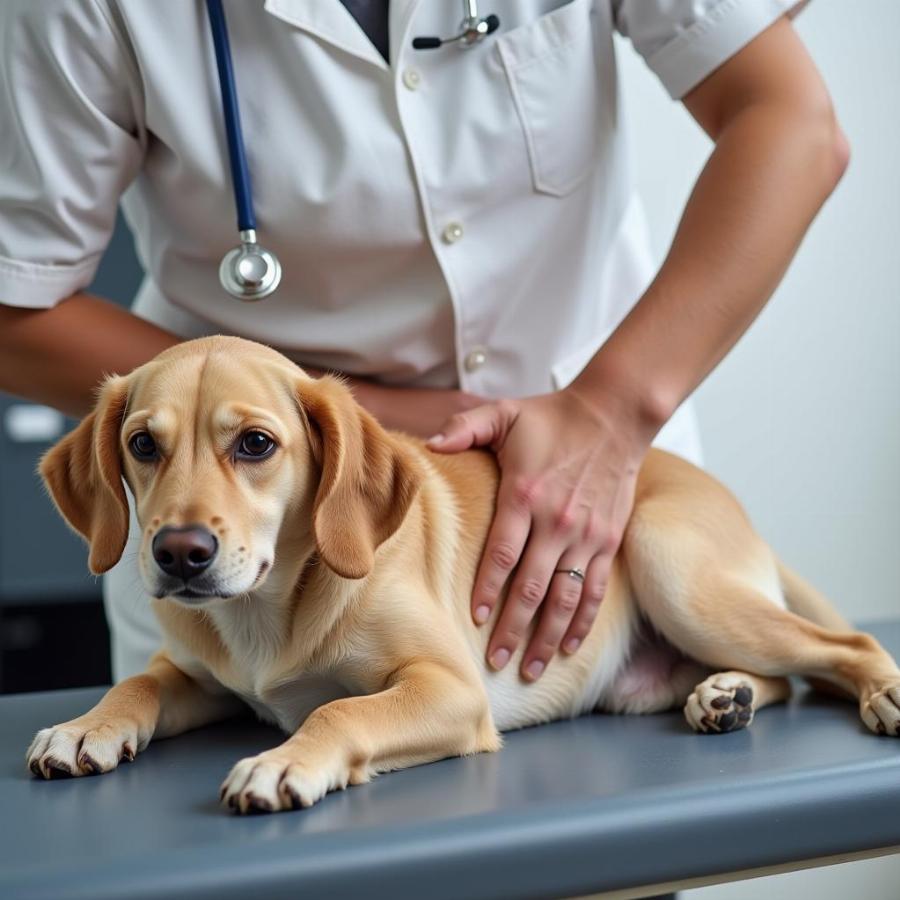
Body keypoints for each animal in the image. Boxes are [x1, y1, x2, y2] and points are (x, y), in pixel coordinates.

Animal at [24, 338, 896, 816]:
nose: (180, 553)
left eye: (256, 445)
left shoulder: (449, 688)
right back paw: (725, 696)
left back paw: (876, 691)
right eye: (142, 445)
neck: (269, 611)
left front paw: (283, 761)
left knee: (840, 647)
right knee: (783, 674)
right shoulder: (197, 676)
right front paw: (86, 726)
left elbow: (340, 712)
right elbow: (139, 682)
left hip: (672, 569)